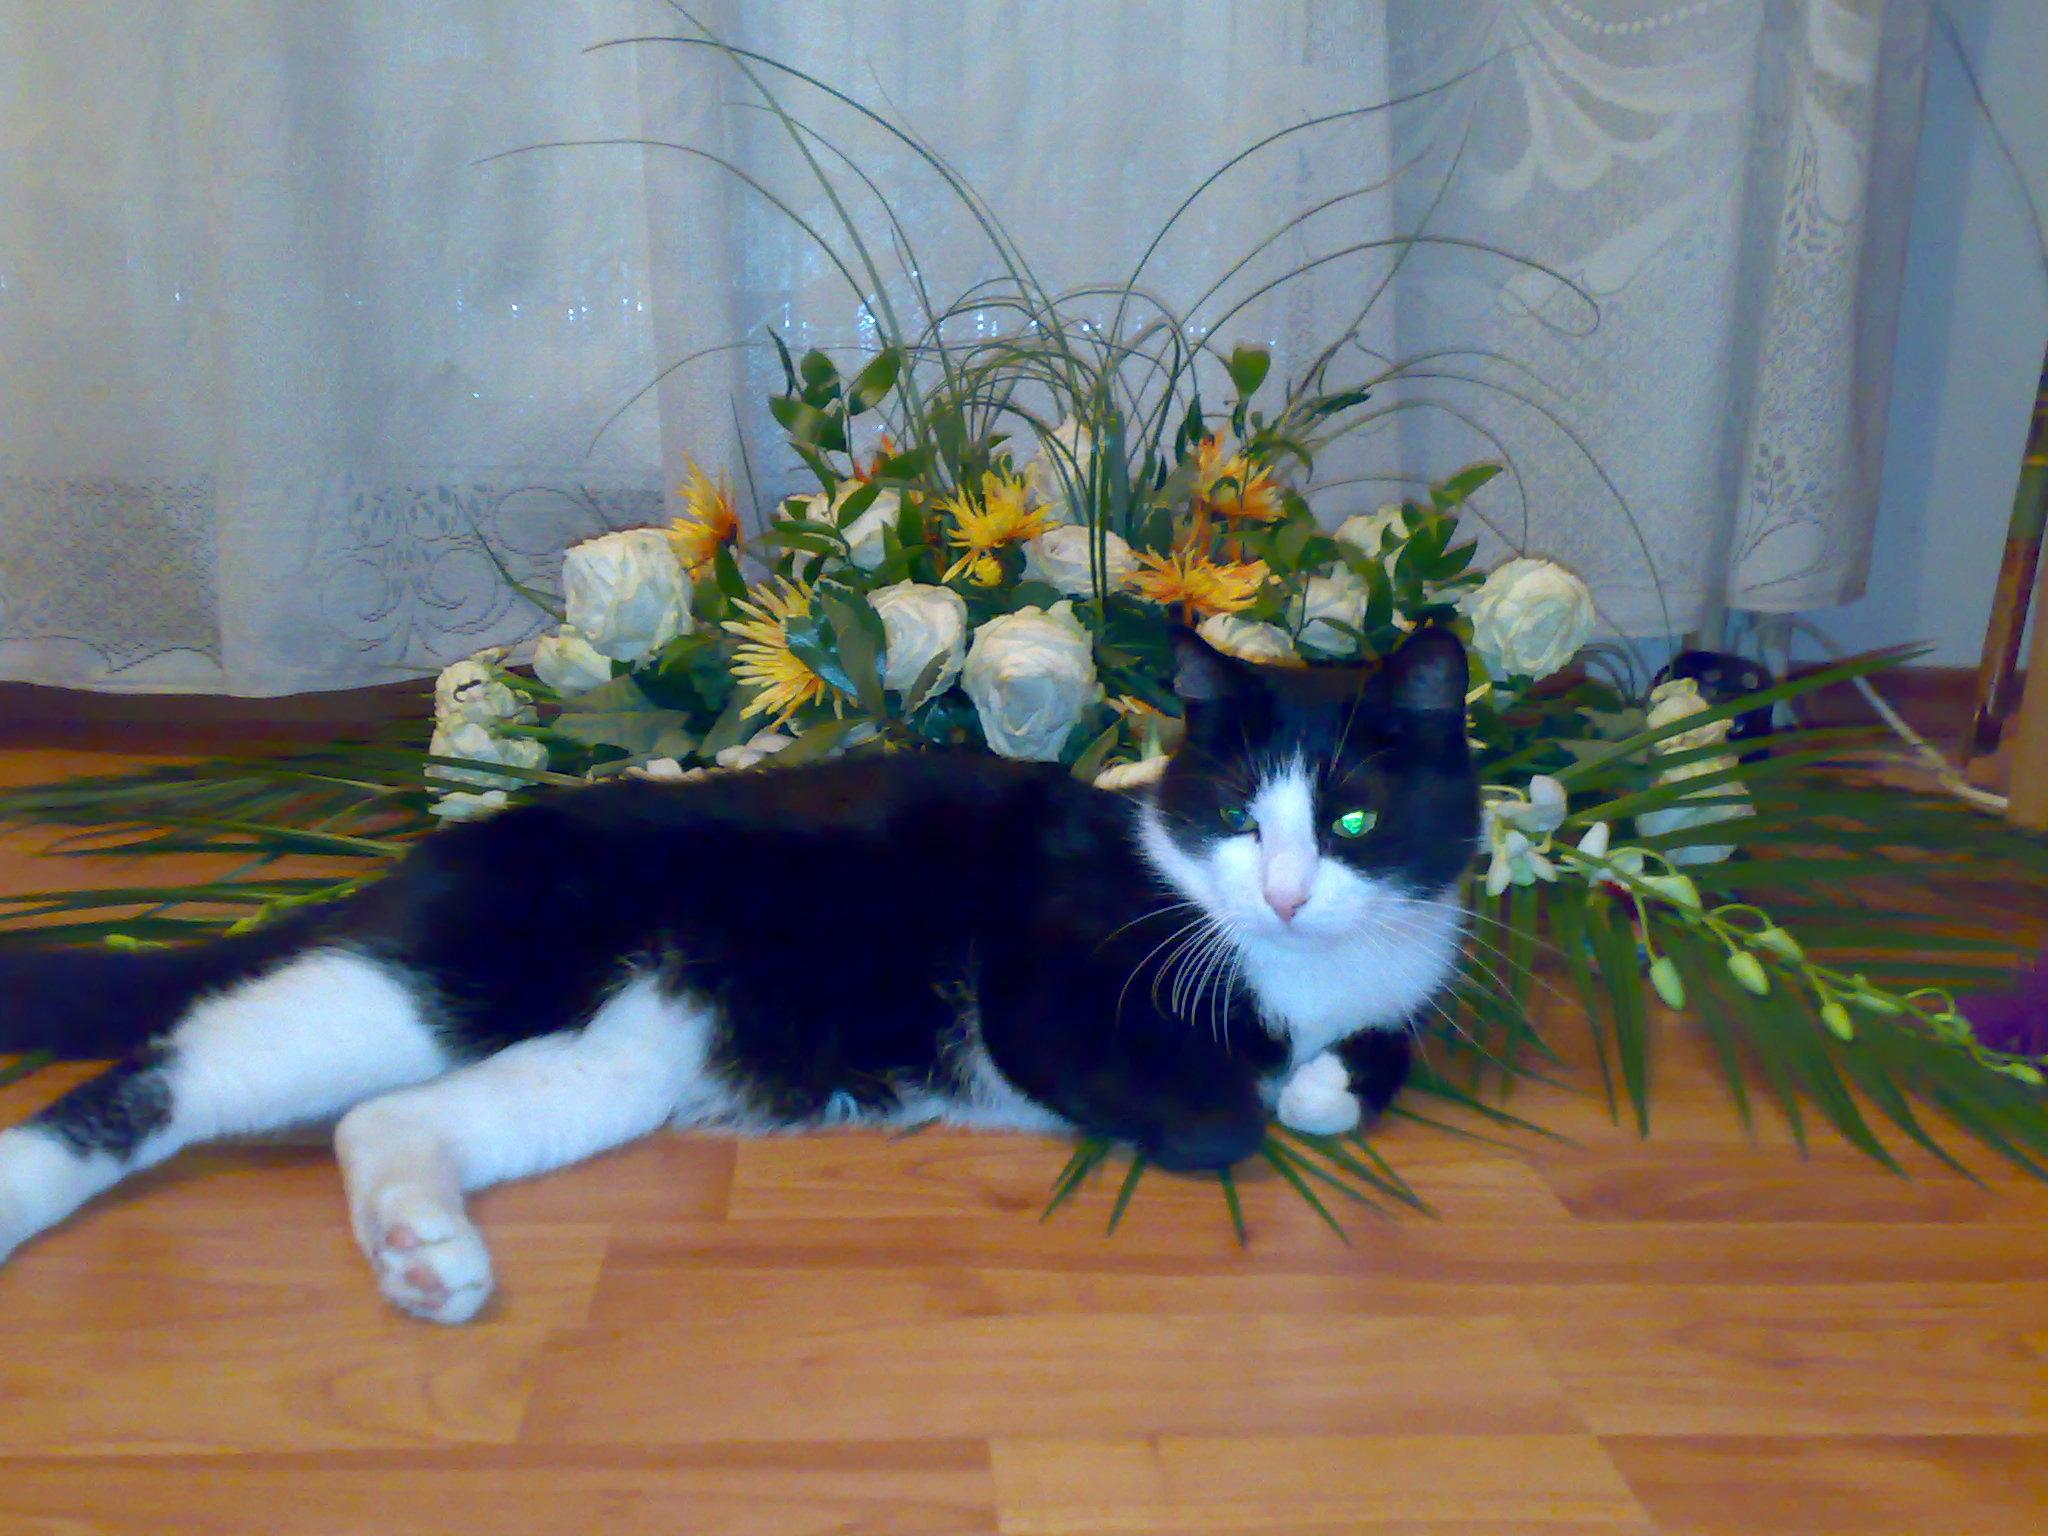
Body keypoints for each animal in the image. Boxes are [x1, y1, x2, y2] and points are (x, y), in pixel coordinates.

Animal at [0, 626, 1478, 1323]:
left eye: (1351, 821)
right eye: (1234, 814)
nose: (1283, 893)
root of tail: (438, 853)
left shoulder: (1401, 973)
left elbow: (1383, 1051)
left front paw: (1331, 1081)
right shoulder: (1049, 977)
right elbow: (1215, 1110)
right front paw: (1258, 1087)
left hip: (612, 1060)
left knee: (384, 1121)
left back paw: (422, 1254)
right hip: (458, 974)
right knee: (168, 1077)